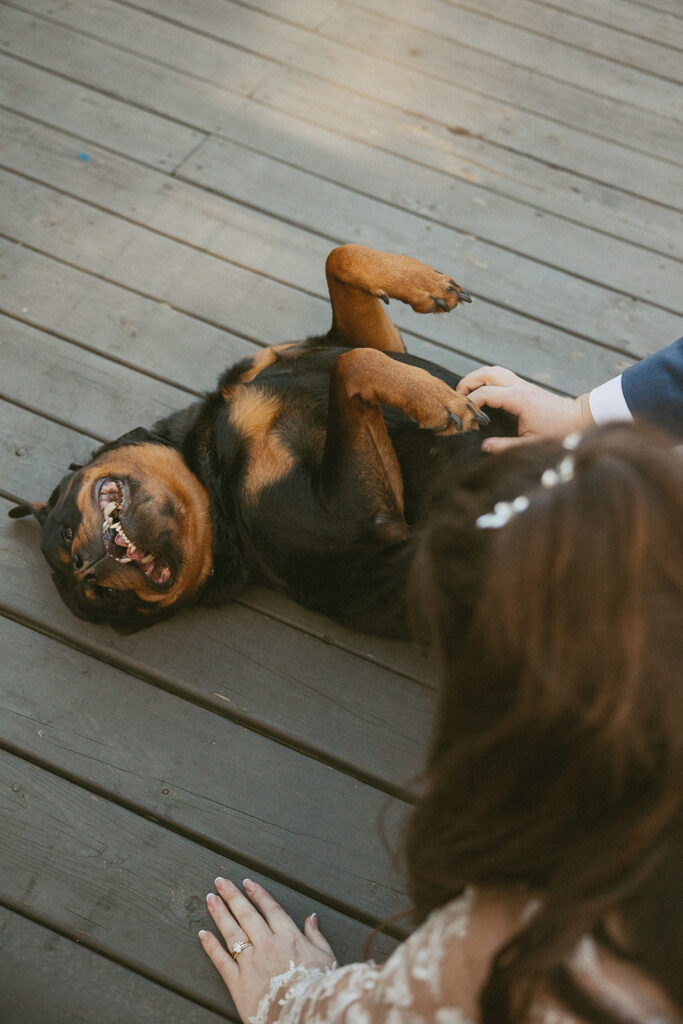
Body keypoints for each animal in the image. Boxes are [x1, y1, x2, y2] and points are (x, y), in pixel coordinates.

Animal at [10, 244, 516, 634]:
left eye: (67, 532)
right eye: (103, 596)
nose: (88, 563)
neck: (208, 467)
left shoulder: (358, 341)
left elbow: (340, 263)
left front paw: (424, 283)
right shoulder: (361, 516)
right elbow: (351, 365)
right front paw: (438, 401)